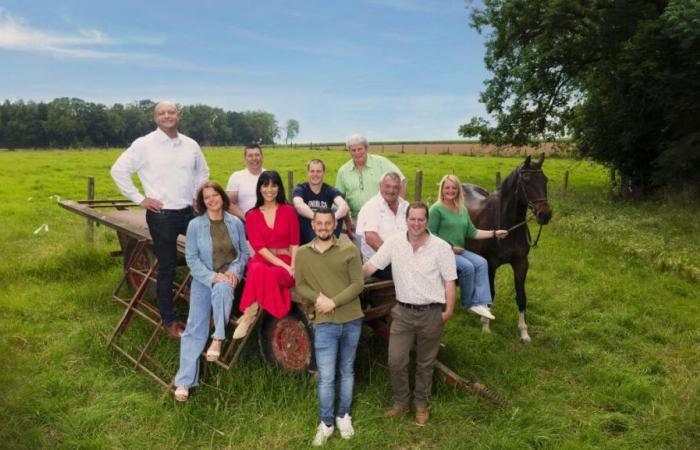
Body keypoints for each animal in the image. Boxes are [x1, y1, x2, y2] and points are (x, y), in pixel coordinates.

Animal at [464, 154, 552, 342]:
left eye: (545, 180)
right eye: (526, 180)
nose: (545, 214)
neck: (507, 225)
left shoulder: (521, 263)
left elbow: (521, 297)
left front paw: (524, 333)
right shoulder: (491, 264)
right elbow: (491, 294)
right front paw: (486, 326)